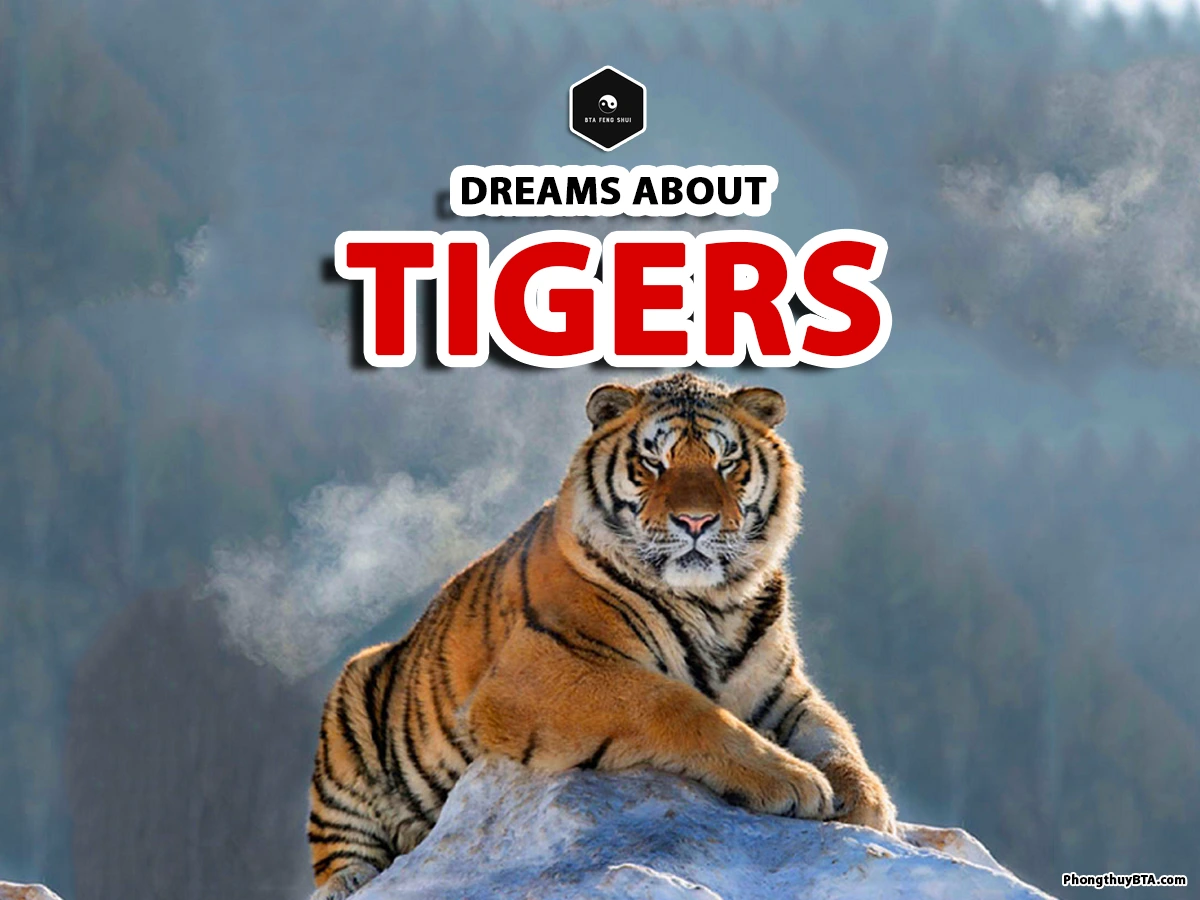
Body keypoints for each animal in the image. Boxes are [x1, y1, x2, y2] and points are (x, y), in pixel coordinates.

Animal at [308, 371, 896, 899]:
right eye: (653, 462)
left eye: (726, 463)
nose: (696, 521)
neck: (713, 603)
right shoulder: (538, 668)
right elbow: (678, 705)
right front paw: (795, 781)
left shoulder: (783, 691)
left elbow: (835, 735)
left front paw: (870, 803)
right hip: (351, 704)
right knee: (339, 848)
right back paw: (349, 882)